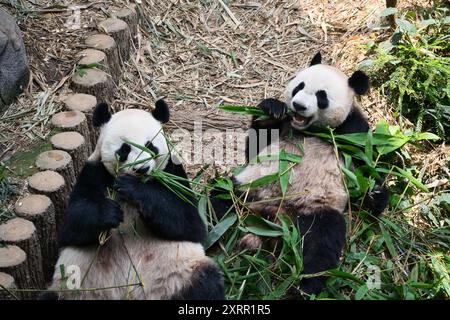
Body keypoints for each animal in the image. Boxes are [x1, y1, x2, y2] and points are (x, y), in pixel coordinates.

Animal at [45, 100, 225, 300]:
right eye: (124, 149)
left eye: (150, 146)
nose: (142, 168)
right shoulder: (93, 172)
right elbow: (71, 226)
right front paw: (108, 213)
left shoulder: (173, 172)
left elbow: (190, 223)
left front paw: (134, 189)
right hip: (74, 289)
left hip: (178, 276)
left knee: (205, 284)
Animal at [213, 52, 388, 296]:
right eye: (299, 86)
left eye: (322, 96)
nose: (298, 105)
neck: (311, 130)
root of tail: (273, 218)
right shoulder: (285, 127)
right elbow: (256, 145)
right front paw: (271, 109)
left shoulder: (353, 133)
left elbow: (366, 166)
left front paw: (375, 194)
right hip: (246, 190)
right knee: (214, 202)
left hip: (315, 212)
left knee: (321, 247)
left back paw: (303, 286)